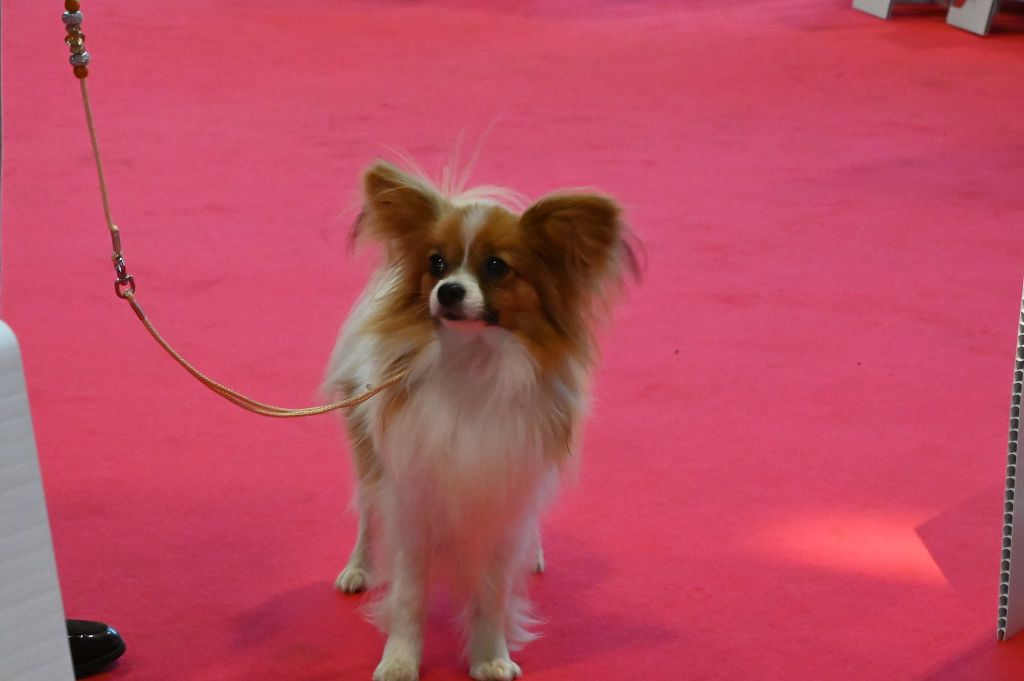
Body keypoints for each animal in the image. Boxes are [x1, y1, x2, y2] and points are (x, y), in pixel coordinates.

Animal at [323, 160, 634, 679]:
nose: (448, 290)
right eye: (435, 264)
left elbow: (492, 594)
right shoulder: (412, 495)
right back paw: (358, 568)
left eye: (496, 267)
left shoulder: (501, 497)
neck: (472, 363)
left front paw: (490, 657)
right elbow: (408, 594)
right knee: (367, 512)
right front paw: (400, 660)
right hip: (368, 453)